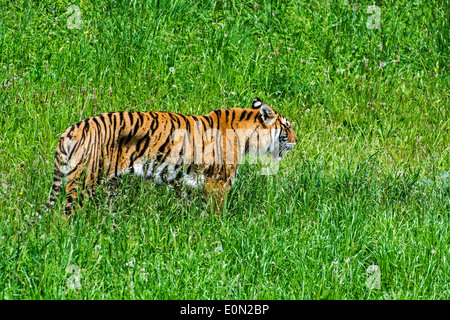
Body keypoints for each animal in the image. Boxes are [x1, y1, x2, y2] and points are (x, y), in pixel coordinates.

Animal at [39, 97, 298, 218]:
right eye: (287, 126)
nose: (297, 139)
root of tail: (73, 128)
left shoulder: (184, 182)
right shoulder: (218, 184)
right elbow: (217, 214)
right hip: (86, 181)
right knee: (65, 215)